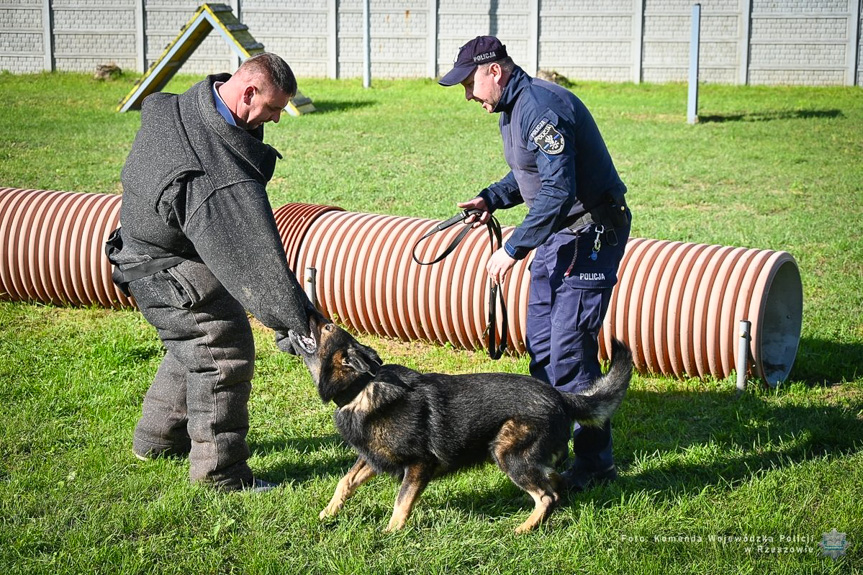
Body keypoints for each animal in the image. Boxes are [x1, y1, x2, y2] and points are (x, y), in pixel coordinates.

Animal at [286, 318, 632, 532]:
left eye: (326, 327)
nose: (305, 314)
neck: (361, 387)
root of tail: (560, 395)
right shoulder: (373, 458)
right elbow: (344, 482)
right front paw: (328, 513)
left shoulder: (419, 465)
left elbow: (401, 502)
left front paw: (390, 533)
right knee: (555, 484)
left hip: (508, 455)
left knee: (547, 495)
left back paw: (524, 527)